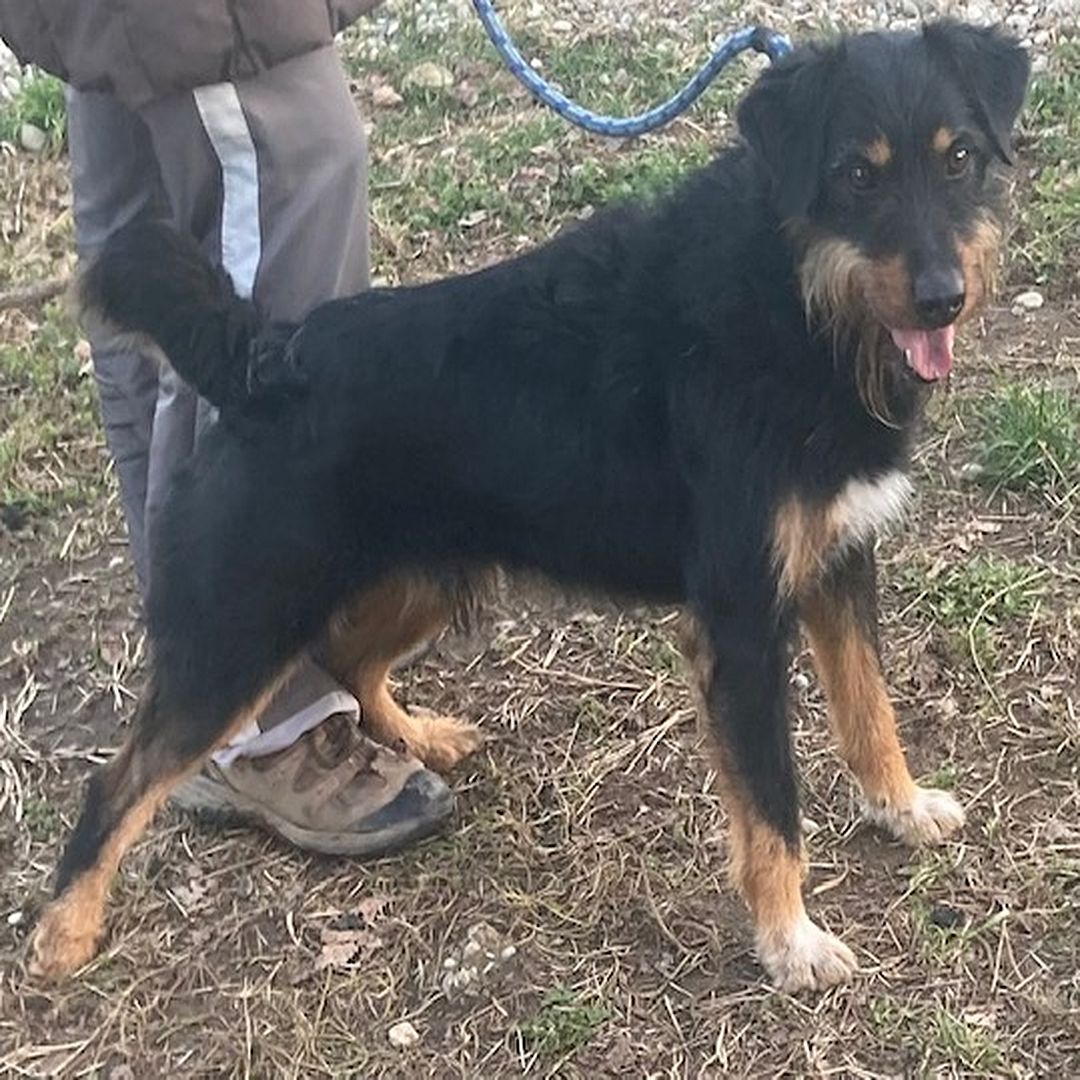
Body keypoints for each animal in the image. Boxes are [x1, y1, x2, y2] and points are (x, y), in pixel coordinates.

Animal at [29, 19, 1028, 993]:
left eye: (959, 158)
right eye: (856, 174)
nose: (943, 298)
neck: (799, 298)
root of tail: (264, 357)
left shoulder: (839, 563)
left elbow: (870, 711)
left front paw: (899, 806)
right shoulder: (742, 624)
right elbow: (773, 803)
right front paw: (790, 940)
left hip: (419, 578)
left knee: (348, 659)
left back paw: (417, 735)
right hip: (244, 632)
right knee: (119, 780)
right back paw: (66, 931)